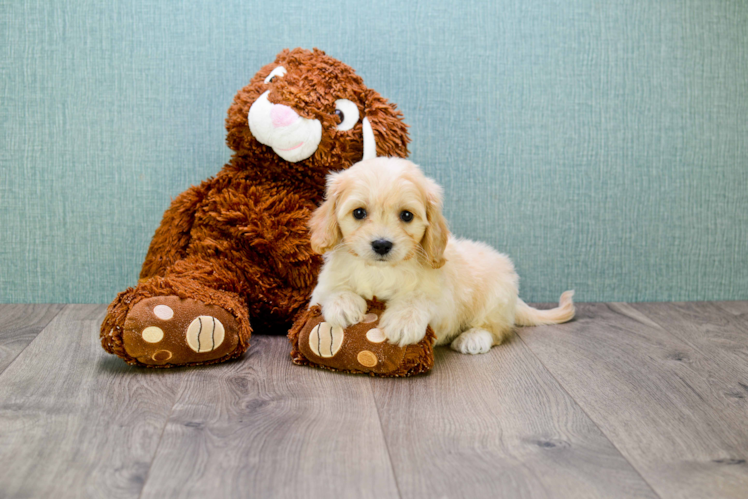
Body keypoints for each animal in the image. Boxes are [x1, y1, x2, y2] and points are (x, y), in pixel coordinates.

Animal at [306, 158, 576, 354]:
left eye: (406, 215)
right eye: (359, 213)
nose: (382, 244)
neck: (381, 271)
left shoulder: (442, 301)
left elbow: (420, 299)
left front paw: (403, 321)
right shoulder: (322, 287)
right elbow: (333, 290)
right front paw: (343, 304)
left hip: (495, 296)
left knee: (496, 328)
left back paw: (474, 338)